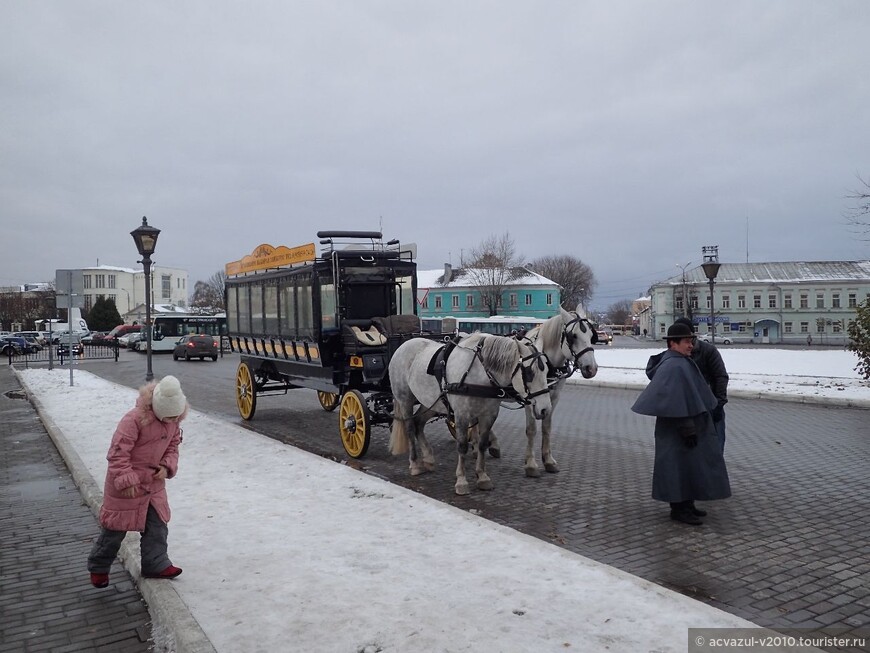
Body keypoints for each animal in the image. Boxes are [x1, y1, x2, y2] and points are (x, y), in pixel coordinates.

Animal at [390, 332, 552, 494]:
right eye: (529, 373)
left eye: (546, 371)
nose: (545, 409)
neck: (481, 374)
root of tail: (404, 345)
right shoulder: (462, 414)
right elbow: (462, 446)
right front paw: (461, 481)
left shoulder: (489, 414)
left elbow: (482, 444)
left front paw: (482, 477)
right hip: (405, 400)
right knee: (410, 428)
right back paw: (415, 464)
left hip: (430, 402)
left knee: (419, 424)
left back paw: (428, 458)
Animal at [490, 304, 600, 476]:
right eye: (573, 336)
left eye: (590, 334)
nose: (591, 369)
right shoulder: (529, 398)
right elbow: (531, 429)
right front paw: (531, 464)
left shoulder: (552, 399)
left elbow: (547, 427)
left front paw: (548, 460)